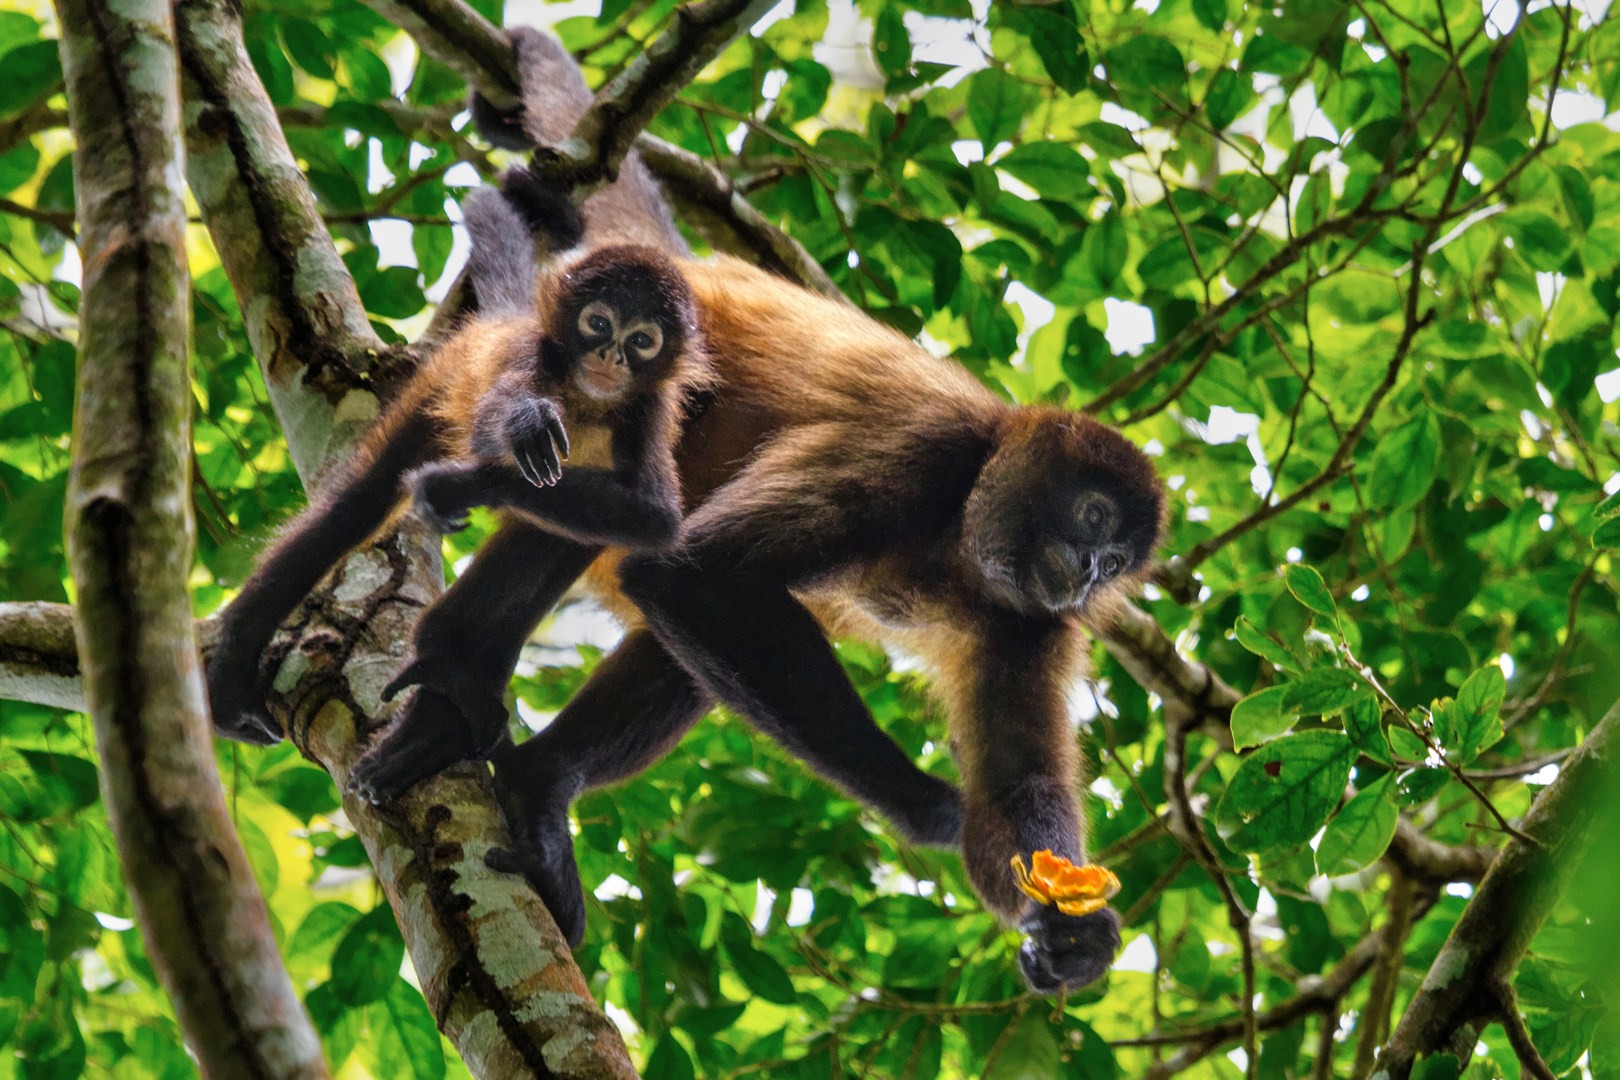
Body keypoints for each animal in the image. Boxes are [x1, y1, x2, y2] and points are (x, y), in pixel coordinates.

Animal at [205, 185, 709, 783]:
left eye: (643, 340)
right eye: (600, 324)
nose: (610, 356)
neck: (589, 400)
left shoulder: (650, 409)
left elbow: (654, 521)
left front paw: (457, 487)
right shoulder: (531, 361)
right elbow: (505, 430)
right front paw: (518, 431)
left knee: (570, 528)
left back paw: (452, 680)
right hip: (441, 385)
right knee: (355, 508)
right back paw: (237, 664)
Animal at [341, 25, 1168, 995]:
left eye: (1116, 564)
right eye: (1093, 521)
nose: (1089, 573)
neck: (962, 529)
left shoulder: (1031, 618)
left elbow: (1015, 787)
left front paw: (1074, 932)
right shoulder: (917, 451)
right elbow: (692, 572)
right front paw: (932, 810)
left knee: (685, 645)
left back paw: (539, 786)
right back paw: (456, 682)